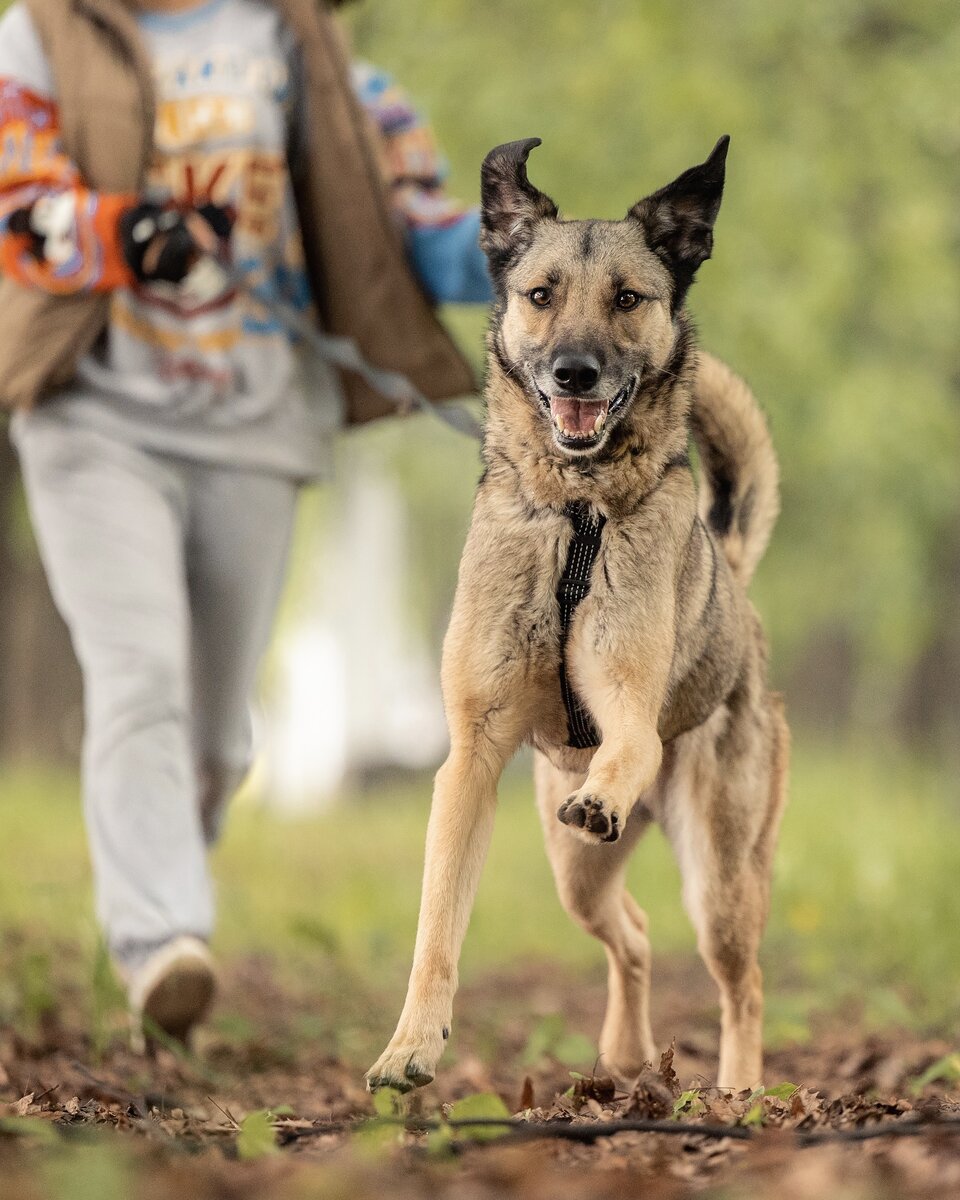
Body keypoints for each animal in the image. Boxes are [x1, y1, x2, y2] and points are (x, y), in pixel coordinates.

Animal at [367, 136, 787, 1094]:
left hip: (719, 877)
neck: (575, 515)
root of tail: (733, 578)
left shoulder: (625, 698)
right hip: (577, 876)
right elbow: (435, 930)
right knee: (629, 931)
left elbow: (629, 742)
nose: (575, 373)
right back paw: (626, 1056)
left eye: (628, 298)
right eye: (540, 294)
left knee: (741, 982)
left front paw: (608, 788)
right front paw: (410, 1047)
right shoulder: (472, 757)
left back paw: (740, 1091)